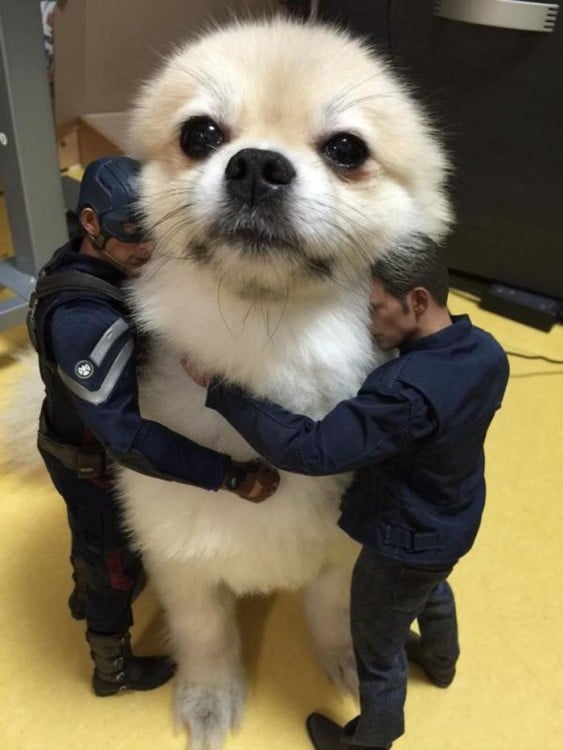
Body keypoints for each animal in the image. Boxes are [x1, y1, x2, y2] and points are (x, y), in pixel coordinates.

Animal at [117, 16, 452, 750]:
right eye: (200, 135)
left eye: (347, 149)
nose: (255, 166)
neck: (267, 348)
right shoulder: (179, 556)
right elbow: (205, 634)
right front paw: (210, 697)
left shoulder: (345, 551)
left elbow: (334, 610)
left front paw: (345, 660)